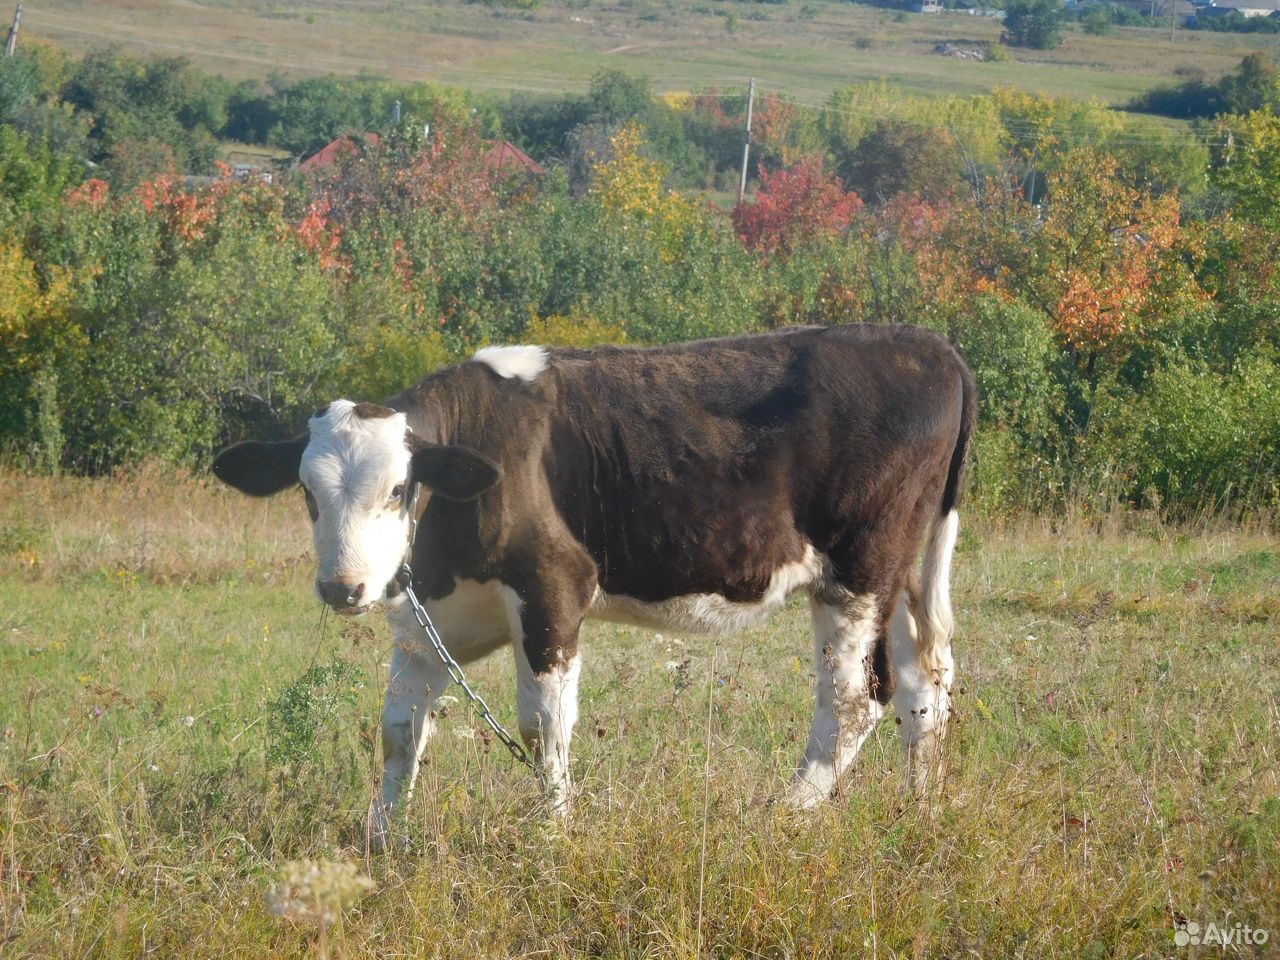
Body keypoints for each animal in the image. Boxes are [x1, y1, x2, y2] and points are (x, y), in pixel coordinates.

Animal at [215, 325, 972, 839]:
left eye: (399, 489)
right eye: (308, 493)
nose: (345, 587)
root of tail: (924, 343)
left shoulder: (554, 590)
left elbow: (543, 727)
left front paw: (553, 830)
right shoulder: (428, 622)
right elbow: (401, 730)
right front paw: (382, 836)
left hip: (859, 569)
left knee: (854, 698)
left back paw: (782, 812)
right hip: (899, 576)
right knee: (921, 679)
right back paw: (922, 809)